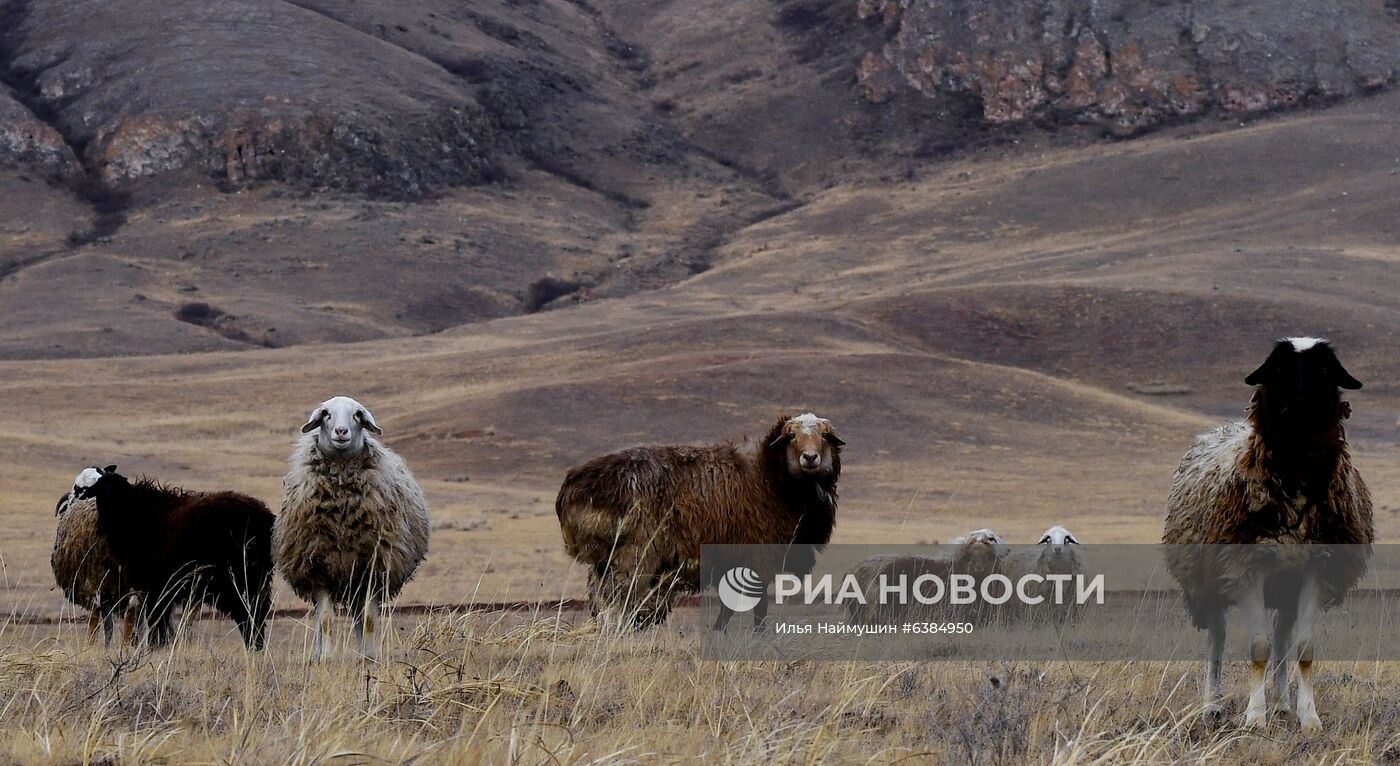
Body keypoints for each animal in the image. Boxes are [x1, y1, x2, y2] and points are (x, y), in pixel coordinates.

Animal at [87, 464, 275, 649]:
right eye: (99, 488)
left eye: (118, 487)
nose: (109, 508)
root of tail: (264, 518)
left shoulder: (156, 587)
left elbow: (156, 621)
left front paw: (155, 648)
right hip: (256, 580)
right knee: (258, 614)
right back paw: (257, 648)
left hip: (231, 580)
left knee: (246, 616)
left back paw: (252, 647)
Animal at [271, 394, 425, 658]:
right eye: (326, 414)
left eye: (357, 415)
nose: (341, 431)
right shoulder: (318, 569)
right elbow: (325, 621)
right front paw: (326, 658)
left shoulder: (373, 569)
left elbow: (369, 621)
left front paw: (370, 657)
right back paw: (319, 654)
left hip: (356, 583)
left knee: (359, 617)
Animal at [554, 414, 840, 630]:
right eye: (792, 436)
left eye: (824, 437)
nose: (810, 458)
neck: (772, 477)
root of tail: (571, 489)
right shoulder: (762, 554)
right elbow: (757, 605)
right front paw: (755, 633)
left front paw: (719, 631)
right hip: (634, 555)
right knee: (617, 597)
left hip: (607, 558)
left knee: (599, 596)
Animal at [1164, 340, 1372, 733]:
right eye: (1280, 368)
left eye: (1325, 369)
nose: (1301, 401)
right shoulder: (1244, 569)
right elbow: (1257, 647)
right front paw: (1254, 718)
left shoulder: (1317, 571)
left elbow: (1303, 648)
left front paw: (1309, 718)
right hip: (1209, 581)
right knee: (1217, 638)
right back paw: (1212, 706)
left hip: (1286, 583)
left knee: (1282, 636)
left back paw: (1283, 704)